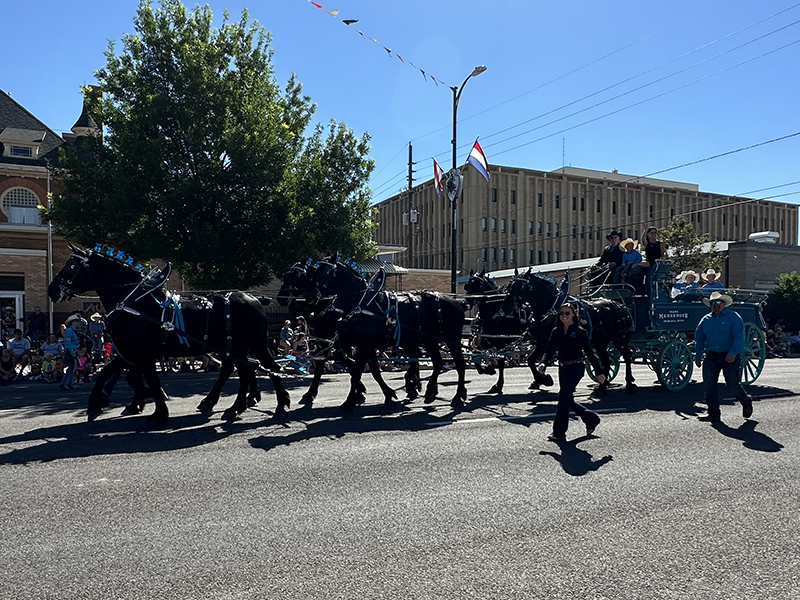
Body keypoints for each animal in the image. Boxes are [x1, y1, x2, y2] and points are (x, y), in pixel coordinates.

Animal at [48, 245, 290, 426]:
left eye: (71, 265)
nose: (52, 290)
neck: (134, 302)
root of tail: (255, 299)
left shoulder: (141, 354)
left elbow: (149, 381)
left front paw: (158, 412)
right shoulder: (129, 353)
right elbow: (109, 374)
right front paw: (97, 405)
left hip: (254, 344)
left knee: (268, 368)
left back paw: (278, 405)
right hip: (234, 347)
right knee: (244, 369)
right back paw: (229, 405)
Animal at [308, 258, 468, 408]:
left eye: (326, 272)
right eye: (314, 272)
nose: (313, 296)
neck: (361, 304)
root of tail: (457, 302)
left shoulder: (363, 346)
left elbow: (357, 372)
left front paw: (349, 401)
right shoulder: (360, 346)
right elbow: (371, 371)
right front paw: (387, 394)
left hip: (451, 339)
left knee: (459, 363)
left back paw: (457, 396)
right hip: (429, 340)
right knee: (437, 362)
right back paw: (429, 391)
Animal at [506, 270, 636, 394]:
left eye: (521, 286)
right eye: (510, 285)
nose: (507, 307)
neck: (551, 308)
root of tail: (619, 304)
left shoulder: (547, 343)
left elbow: (543, 360)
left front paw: (545, 380)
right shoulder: (541, 343)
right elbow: (531, 361)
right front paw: (541, 380)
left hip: (619, 338)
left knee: (627, 356)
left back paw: (629, 382)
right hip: (601, 341)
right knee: (606, 360)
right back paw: (602, 384)